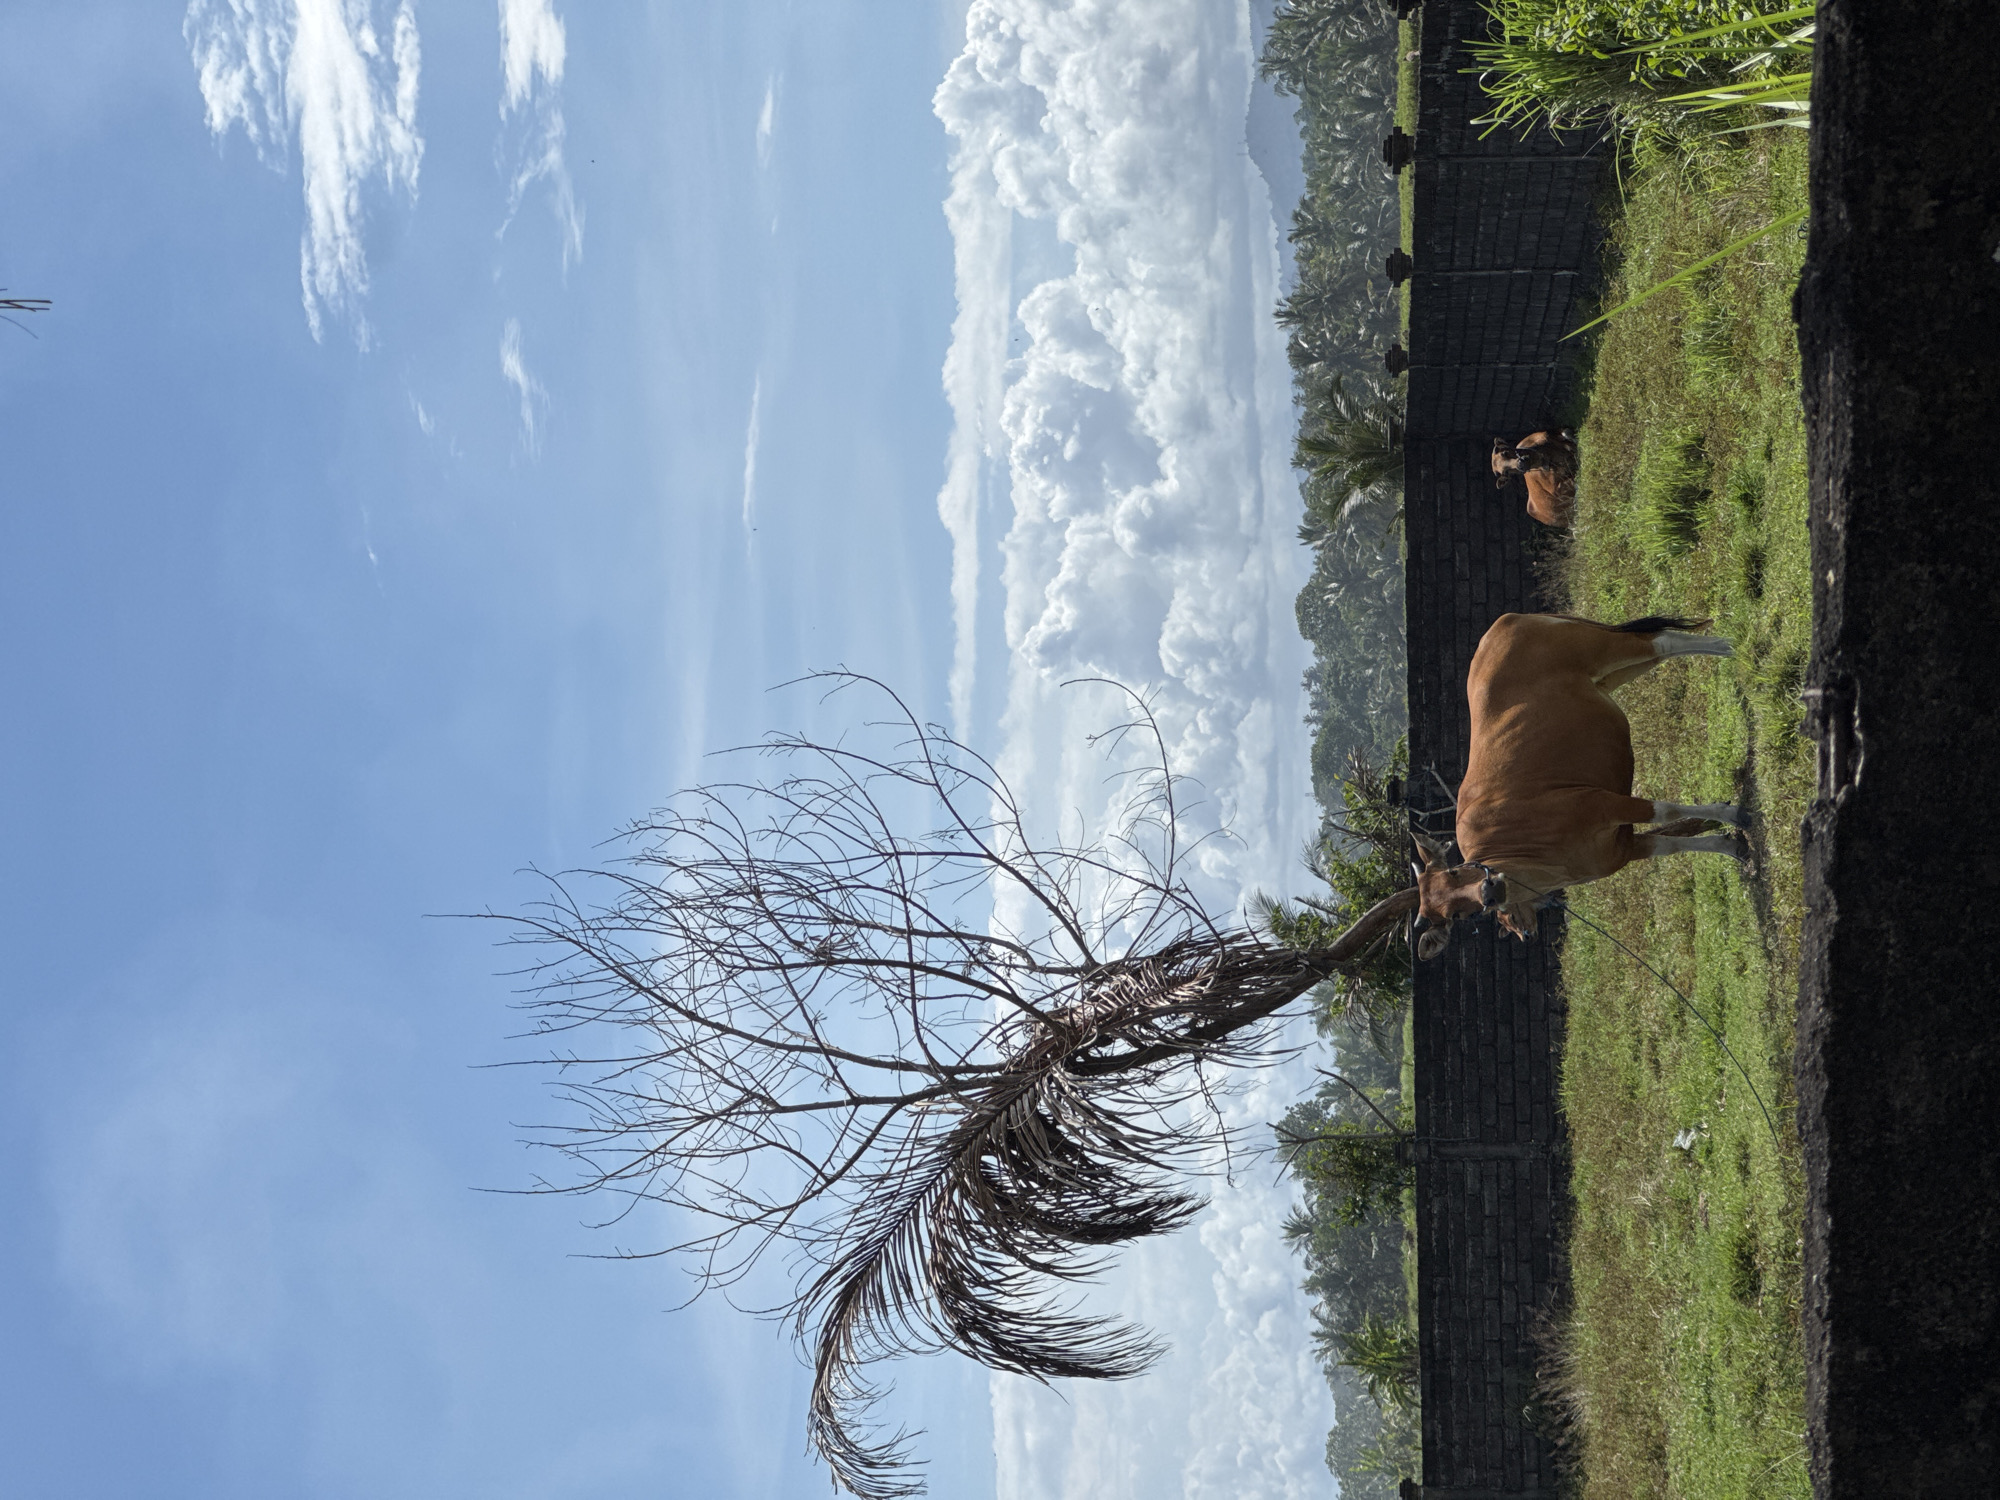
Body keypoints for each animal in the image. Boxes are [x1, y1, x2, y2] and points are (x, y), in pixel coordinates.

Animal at [1413, 612, 1744, 960]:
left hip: (1605, 648)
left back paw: (1731, 645)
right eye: (1456, 915)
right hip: (1611, 676)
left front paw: (1734, 814)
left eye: (1455, 872)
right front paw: (1729, 846)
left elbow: (1664, 812)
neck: (1531, 856)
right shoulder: (1620, 850)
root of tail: (1503, 623)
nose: (1490, 891)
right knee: (1662, 648)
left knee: (1663, 641)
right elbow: (1672, 845)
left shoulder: (1604, 803)